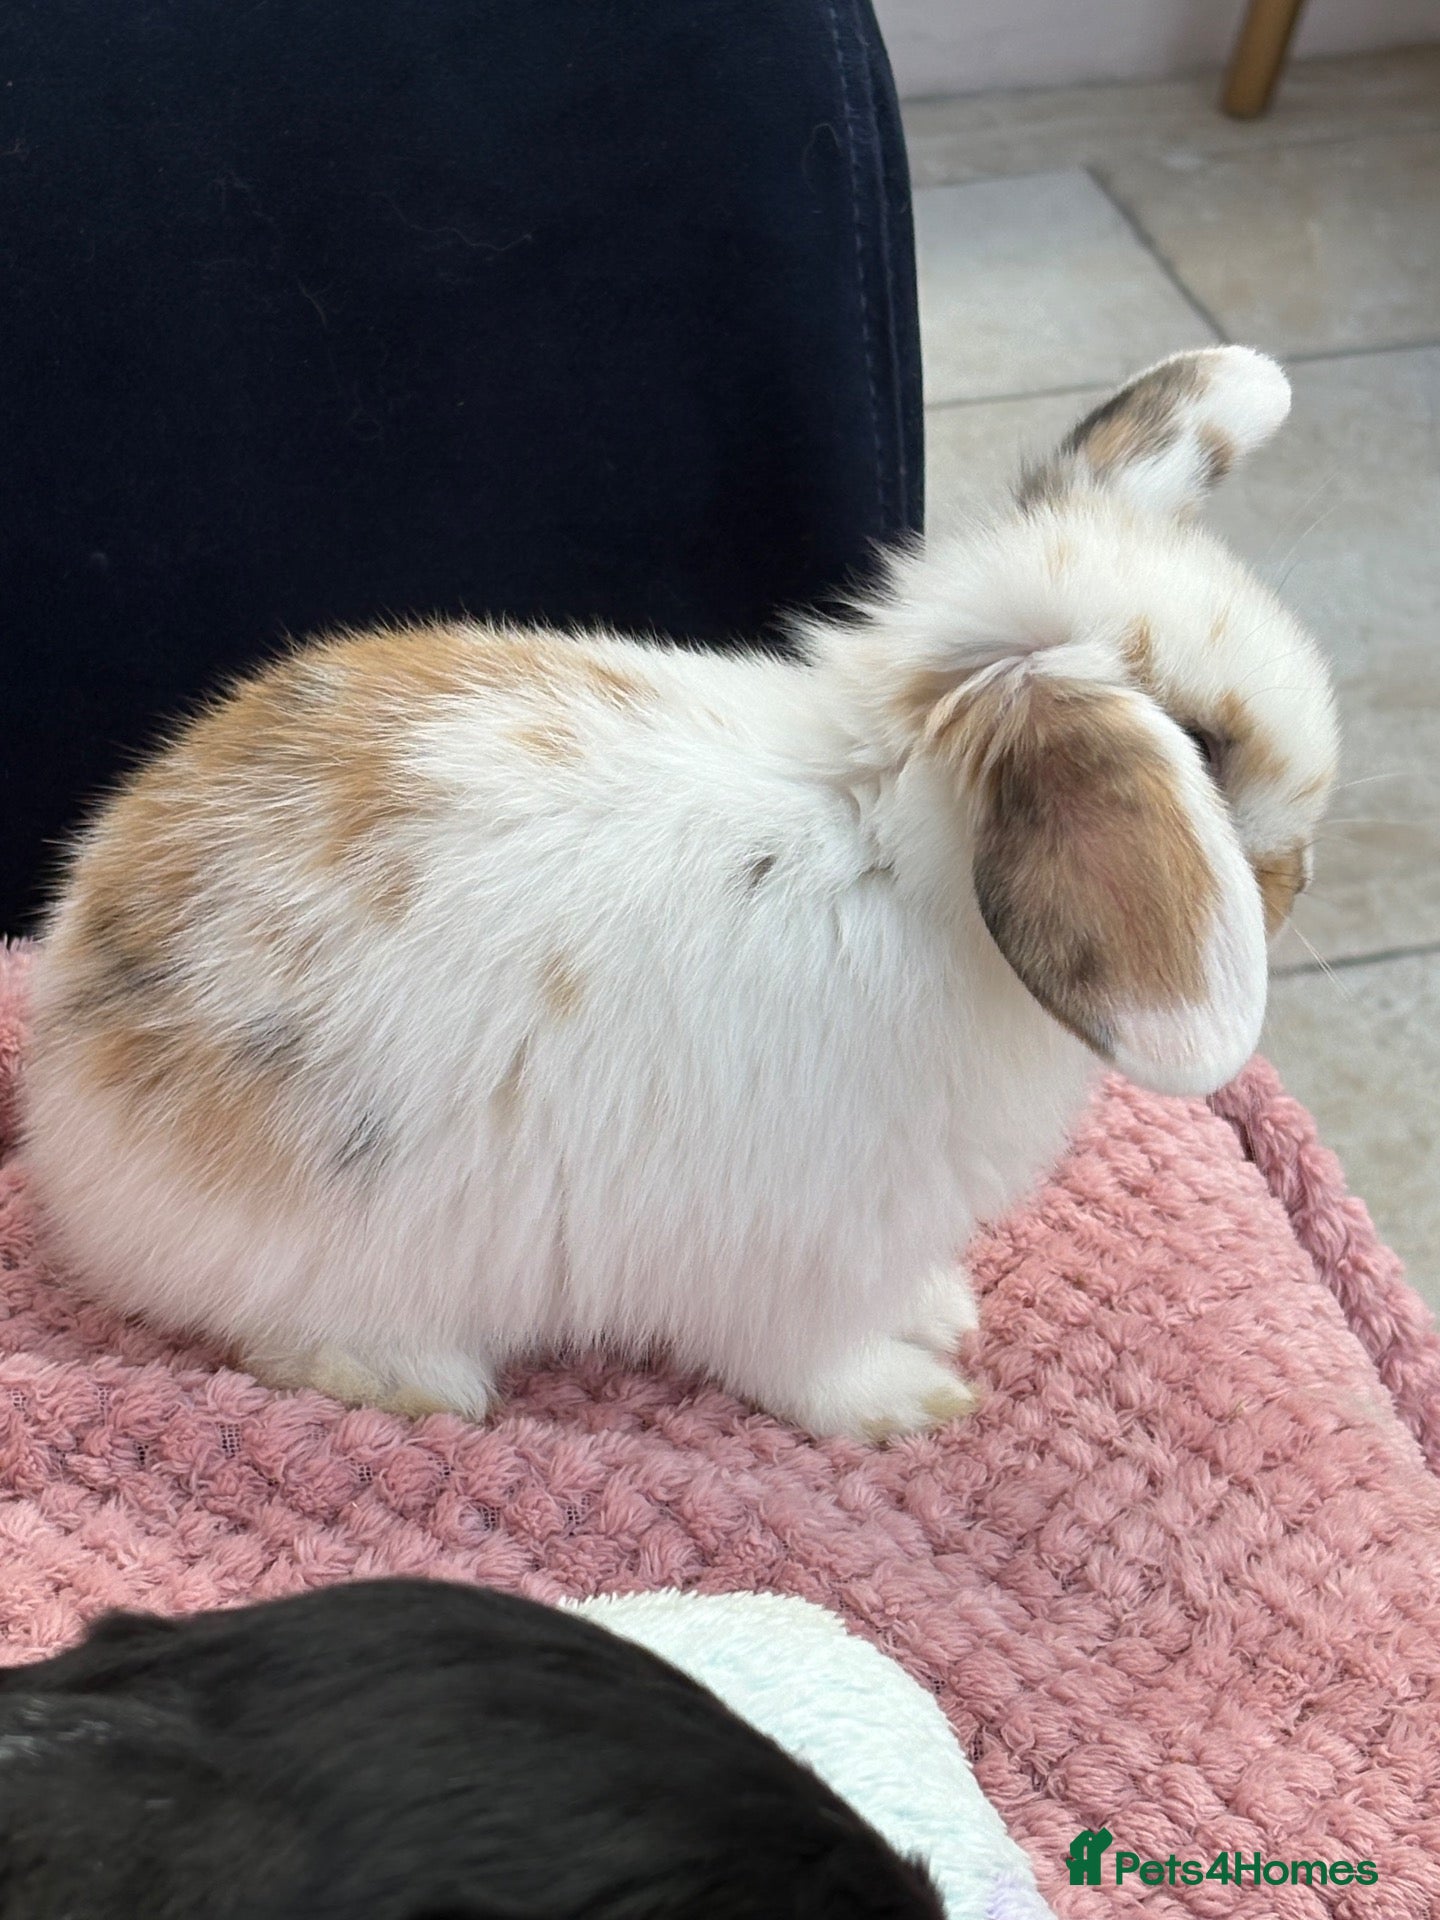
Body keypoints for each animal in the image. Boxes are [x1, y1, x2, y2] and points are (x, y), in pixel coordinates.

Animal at [21, 346, 1338, 1440]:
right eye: (1200, 748)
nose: (1301, 880)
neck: (891, 858)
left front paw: (944, 1313)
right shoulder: (799, 1259)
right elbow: (812, 1367)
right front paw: (913, 1403)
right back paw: (419, 1385)